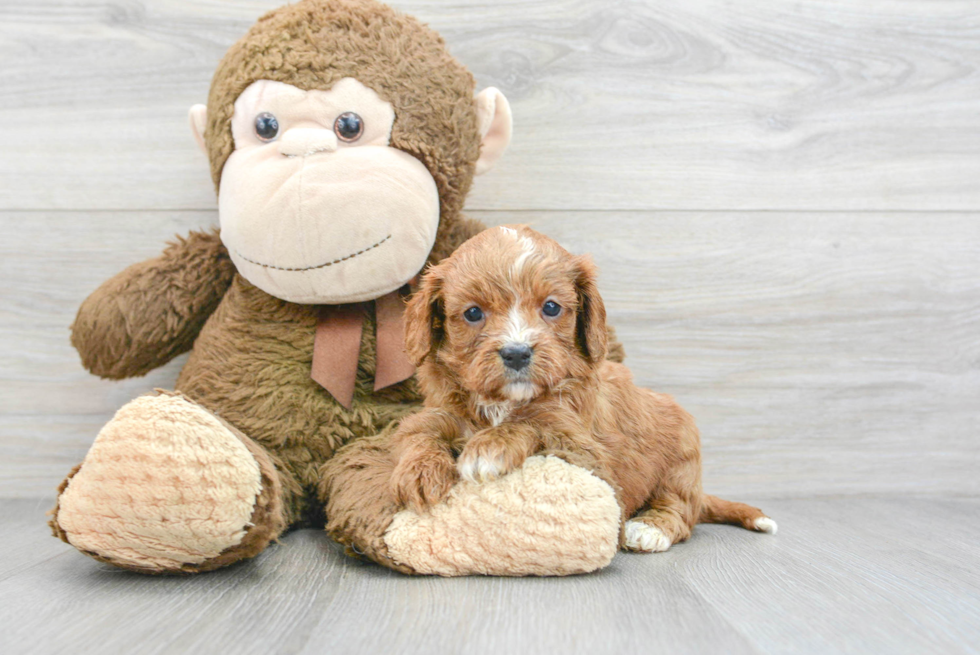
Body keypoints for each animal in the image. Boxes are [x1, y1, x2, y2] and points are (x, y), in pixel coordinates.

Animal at [388, 226, 772, 552]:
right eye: (472, 313)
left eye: (551, 307)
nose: (517, 352)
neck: (503, 402)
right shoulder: (441, 410)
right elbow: (421, 431)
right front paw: (419, 472)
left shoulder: (583, 450)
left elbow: (532, 422)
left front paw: (489, 448)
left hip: (683, 459)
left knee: (679, 508)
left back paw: (650, 529)